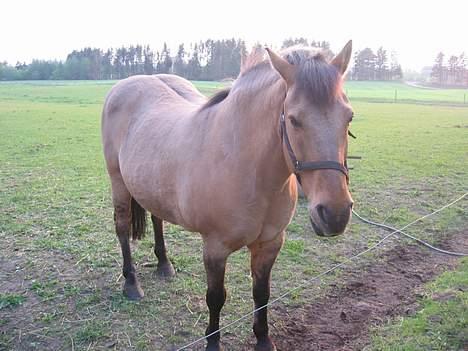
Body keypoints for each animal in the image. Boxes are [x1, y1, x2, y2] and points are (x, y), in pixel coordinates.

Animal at [100, 40, 352, 351]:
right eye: (294, 120)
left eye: (349, 116)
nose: (335, 214)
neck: (246, 167)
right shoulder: (215, 248)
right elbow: (216, 298)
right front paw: (213, 342)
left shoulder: (269, 244)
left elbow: (262, 293)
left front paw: (263, 340)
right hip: (119, 183)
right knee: (122, 228)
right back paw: (131, 283)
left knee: (158, 220)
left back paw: (164, 265)